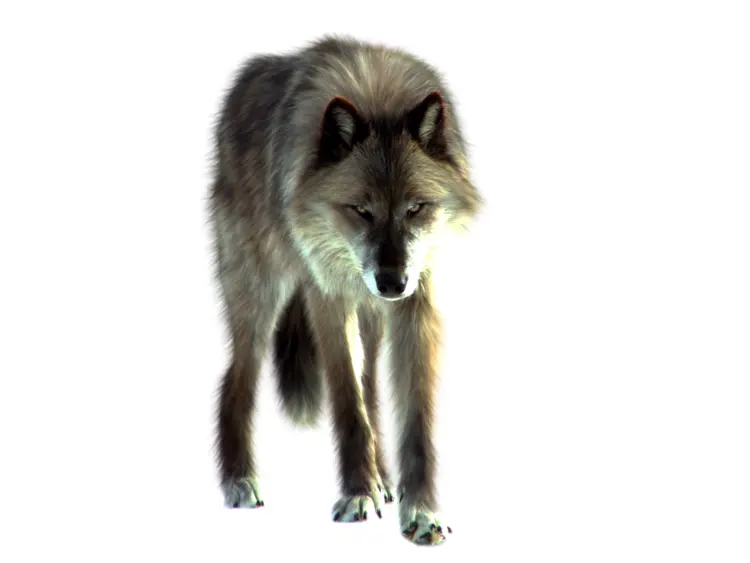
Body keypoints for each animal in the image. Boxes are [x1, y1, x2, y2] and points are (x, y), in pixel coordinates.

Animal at [208, 35, 481, 545]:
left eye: (415, 208)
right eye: (361, 210)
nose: (391, 282)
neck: (376, 95)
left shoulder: (418, 304)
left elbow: (413, 418)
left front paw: (421, 511)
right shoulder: (328, 300)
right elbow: (347, 404)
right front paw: (357, 495)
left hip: (372, 319)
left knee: (372, 387)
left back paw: (384, 480)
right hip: (260, 297)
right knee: (235, 381)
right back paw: (239, 481)